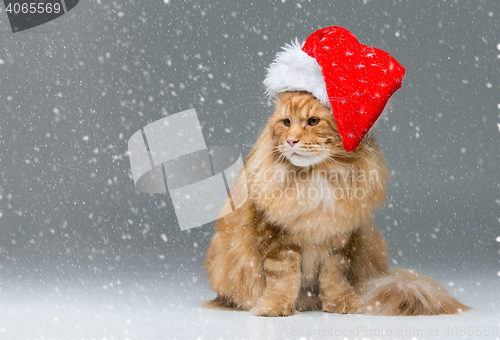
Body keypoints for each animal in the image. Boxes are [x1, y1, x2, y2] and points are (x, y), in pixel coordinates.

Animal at [203, 91, 468, 316]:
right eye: (286, 122)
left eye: (313, 121)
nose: (291, 141)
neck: (317, 176)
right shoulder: (277, 237)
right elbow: (282, 278)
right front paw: (276, 306)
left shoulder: (339, 240)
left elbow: (333, 277)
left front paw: (341, 302)